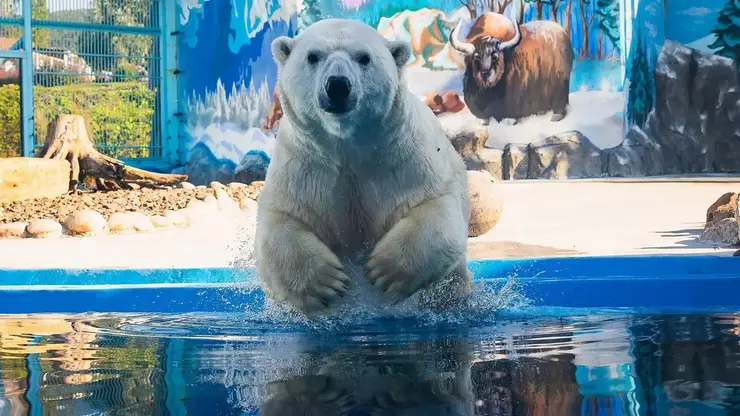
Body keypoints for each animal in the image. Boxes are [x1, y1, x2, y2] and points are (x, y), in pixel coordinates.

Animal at [253, 18, 473, 315]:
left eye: (364, 58)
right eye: (313, 56)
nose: (337, 86)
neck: (348, 147)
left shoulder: (406, 159)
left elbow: (437, 208)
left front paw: (384, 271)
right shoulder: (303, 168)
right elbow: (280, 222)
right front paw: (326, 283)